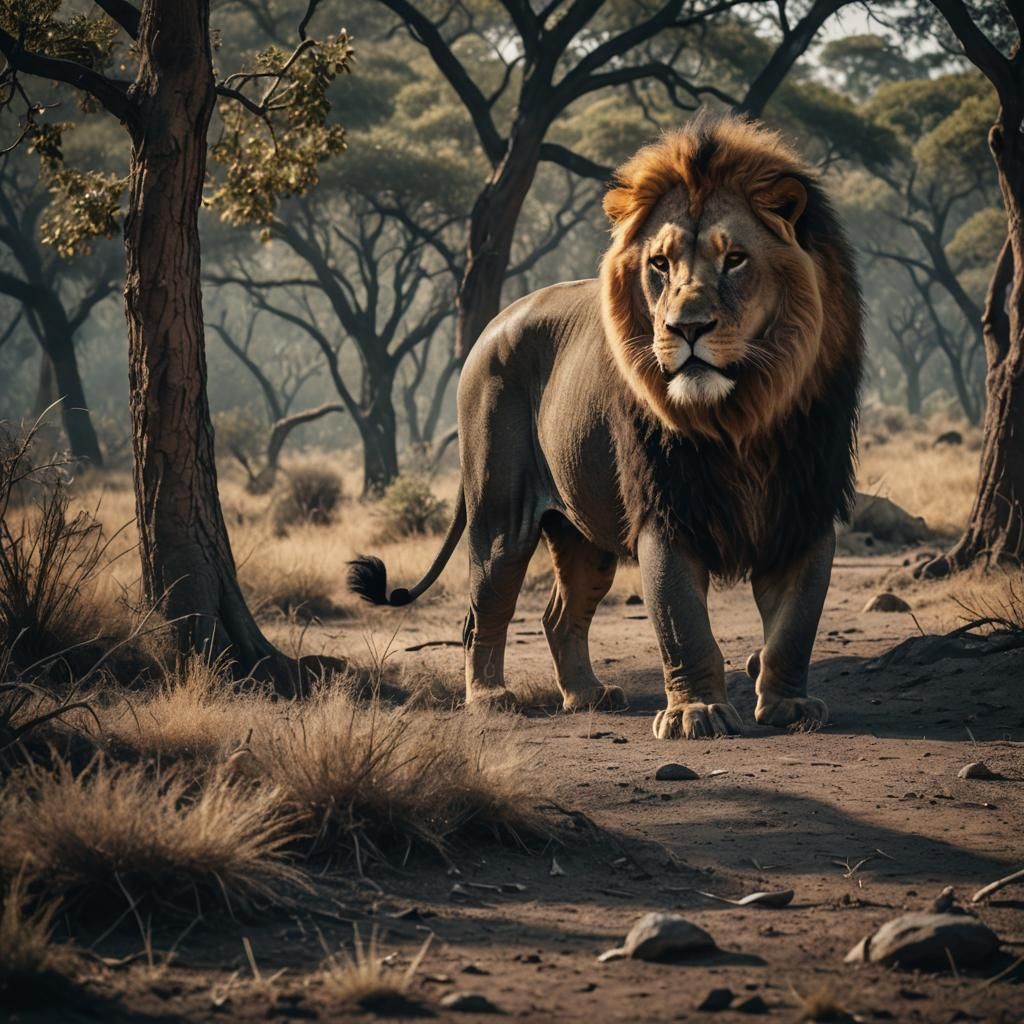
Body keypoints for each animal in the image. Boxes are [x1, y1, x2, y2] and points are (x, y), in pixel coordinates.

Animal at [349, 114, 863, 739]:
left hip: (584, 534)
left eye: (736, 259)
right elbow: (682, 623)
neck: (739, 418)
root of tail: (492, 323)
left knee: (558, 615)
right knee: (483, 610)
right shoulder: (666, 511)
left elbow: (795, 626)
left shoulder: (805, 509)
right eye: (660, 265)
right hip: (501, 514)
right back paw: (490, 698)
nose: (686, 327)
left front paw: (790, 706)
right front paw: (695, 713)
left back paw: (587, 694)